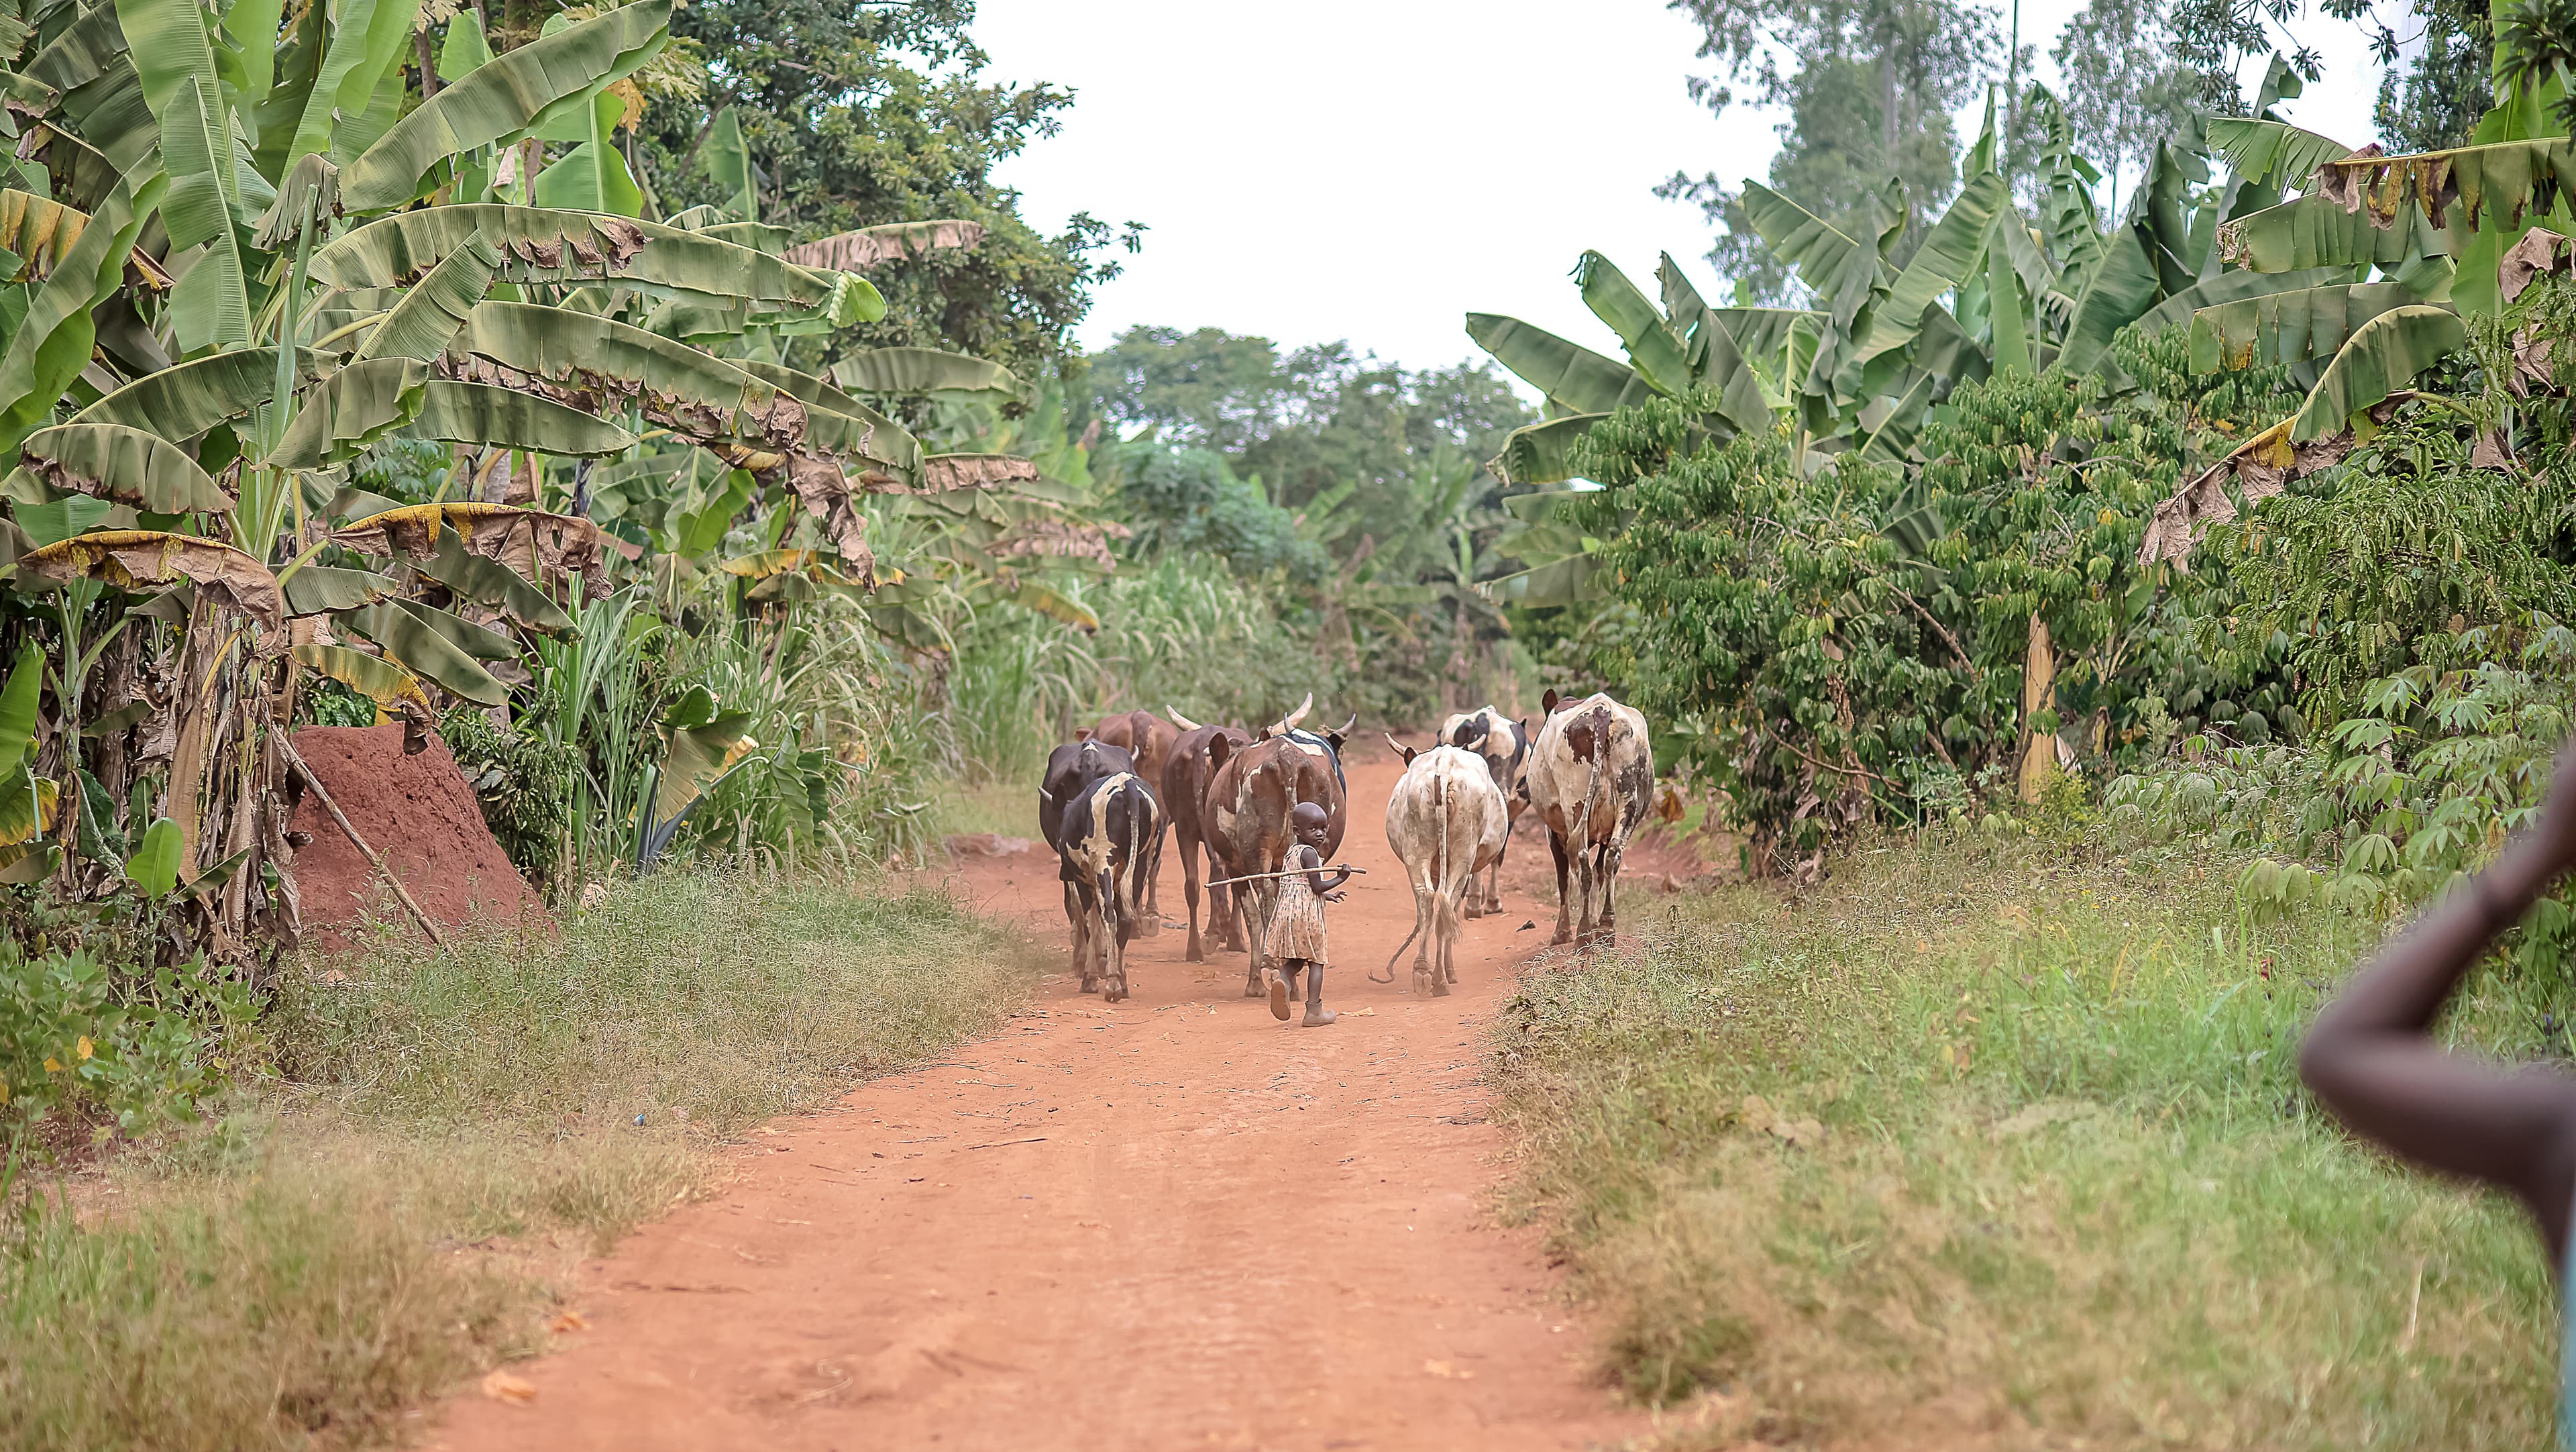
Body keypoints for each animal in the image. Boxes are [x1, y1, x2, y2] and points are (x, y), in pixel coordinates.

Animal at [1054, 771, 1161, 1002]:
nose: (1062, 874)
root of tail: (1126, 784)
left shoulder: (1083, 881)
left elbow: (1090, 925)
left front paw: (1090, 978)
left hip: (1104, 862)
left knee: (1110, 916)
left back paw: (1112, 983)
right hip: (1141, 866)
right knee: (1126, 918)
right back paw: (1122, 982)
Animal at [1161, 709, 1252, 963]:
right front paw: (1232, 937)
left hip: (1185, 829)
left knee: (1192, 885)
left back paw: (1195, 949)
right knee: (1220, 876)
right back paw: (1218, 933)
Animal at [1203, 697, 1353, 997]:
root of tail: (1286, 755)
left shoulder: (1237, 869)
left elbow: (1253, 917)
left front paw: (1255, 984)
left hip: (1256, 853)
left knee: (1266, 902)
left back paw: (1273, 966)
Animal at [1376, 736, 1507, 997]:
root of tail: (1444, 762)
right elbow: (1454, 911)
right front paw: (1451, 971)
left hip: (1416, 849)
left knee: (1427, 899)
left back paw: (1422, 970)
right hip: (1463, 854)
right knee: (1445, 901)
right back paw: (1440, 978)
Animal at [1526, 689, 1654, 948]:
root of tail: (1602, 710)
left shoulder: (1553, 832)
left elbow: (1565, 878)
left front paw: (1562, 932)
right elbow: (1600, 873)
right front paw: (1596, 924)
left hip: (1576, 804)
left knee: (1582, 864)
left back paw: (1583, 935)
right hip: (1628, 803)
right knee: (1612, 858)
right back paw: (1606, 928)